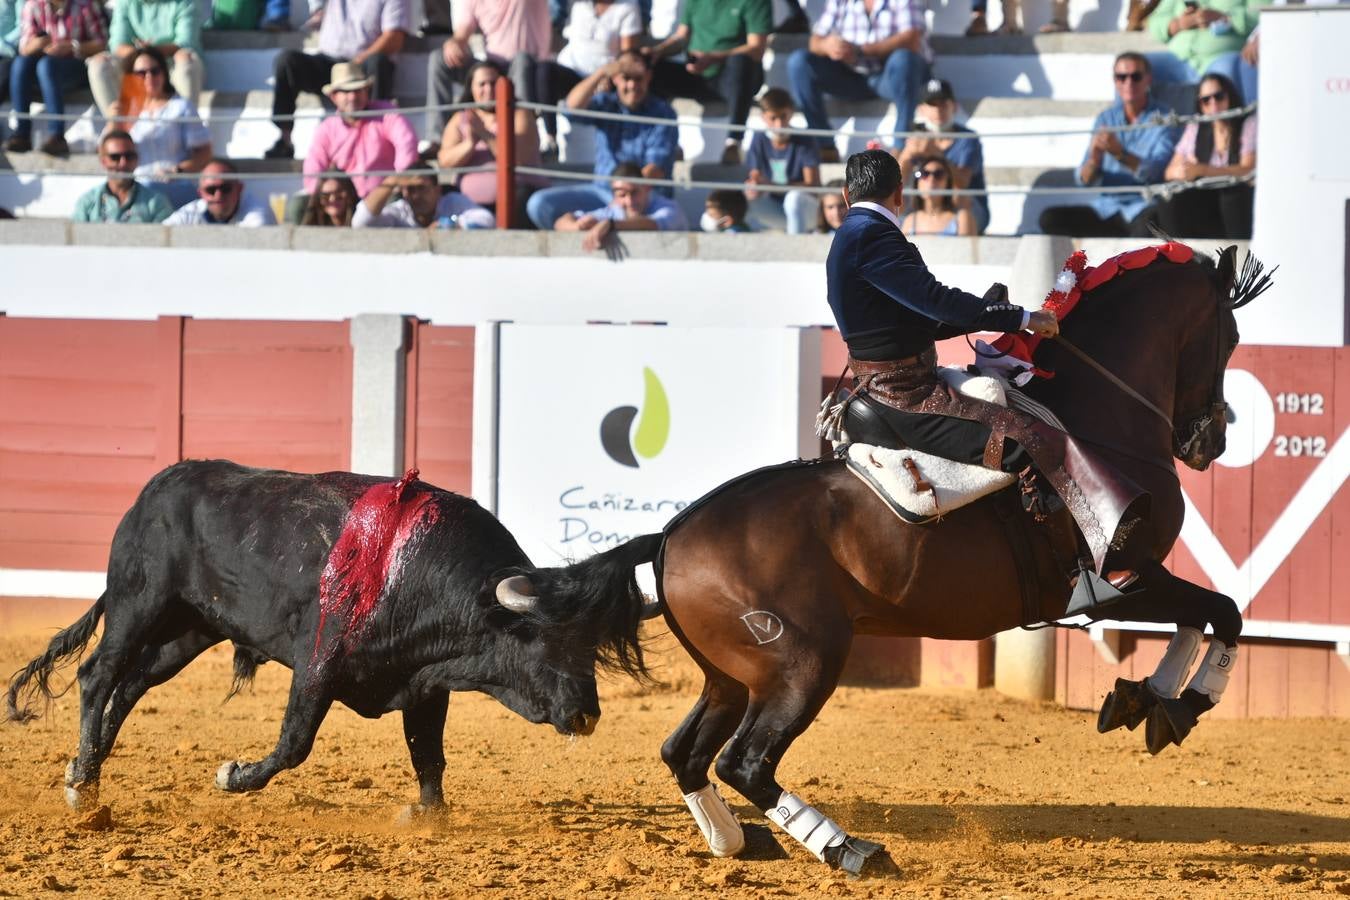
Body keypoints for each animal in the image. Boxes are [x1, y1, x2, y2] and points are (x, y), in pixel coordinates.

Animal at [5, 461, 658, 814]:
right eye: (545, 641)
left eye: (592, 643)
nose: (587, 714)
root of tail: (153, 490)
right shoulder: (318, 665)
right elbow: (295, 743)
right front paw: (233, 776)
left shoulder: (424, 685)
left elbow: (429, 755)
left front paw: (428, 816)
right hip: (138, 603)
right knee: (98, 675)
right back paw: (80, 785)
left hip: (189, 630)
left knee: (133, 683)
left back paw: (90, 771)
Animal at [623, 242, 1274, 874]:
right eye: (1231, 337)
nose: (1209, 442)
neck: (1101, 422)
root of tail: (671, 537)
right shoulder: (1128, 580)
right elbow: (1224, 611)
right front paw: (1185, 702)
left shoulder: (1141, 580)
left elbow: (1201, 616)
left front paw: (1150, 698)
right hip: (801, 666)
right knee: (744, 762)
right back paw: (850, 850)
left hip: (731, 677)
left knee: (684, 752)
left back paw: (738, 842)